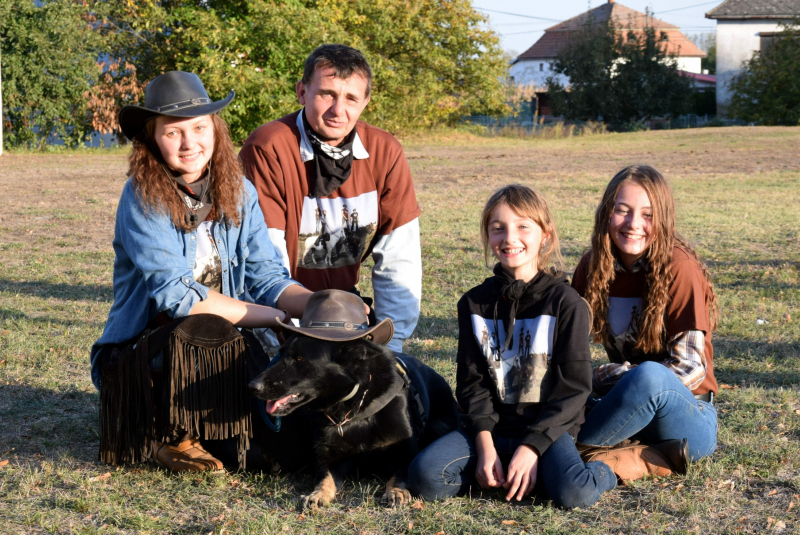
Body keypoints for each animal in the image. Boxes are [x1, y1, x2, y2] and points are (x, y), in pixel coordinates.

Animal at [250, 336, 462, 510]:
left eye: (300, 359)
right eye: (280, 354)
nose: (252, 386)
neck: (354, 407)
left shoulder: (406, 452)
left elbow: (401, 474)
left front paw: (395, 491)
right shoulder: (327, 457)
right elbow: (325, 478)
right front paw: (318, 495)